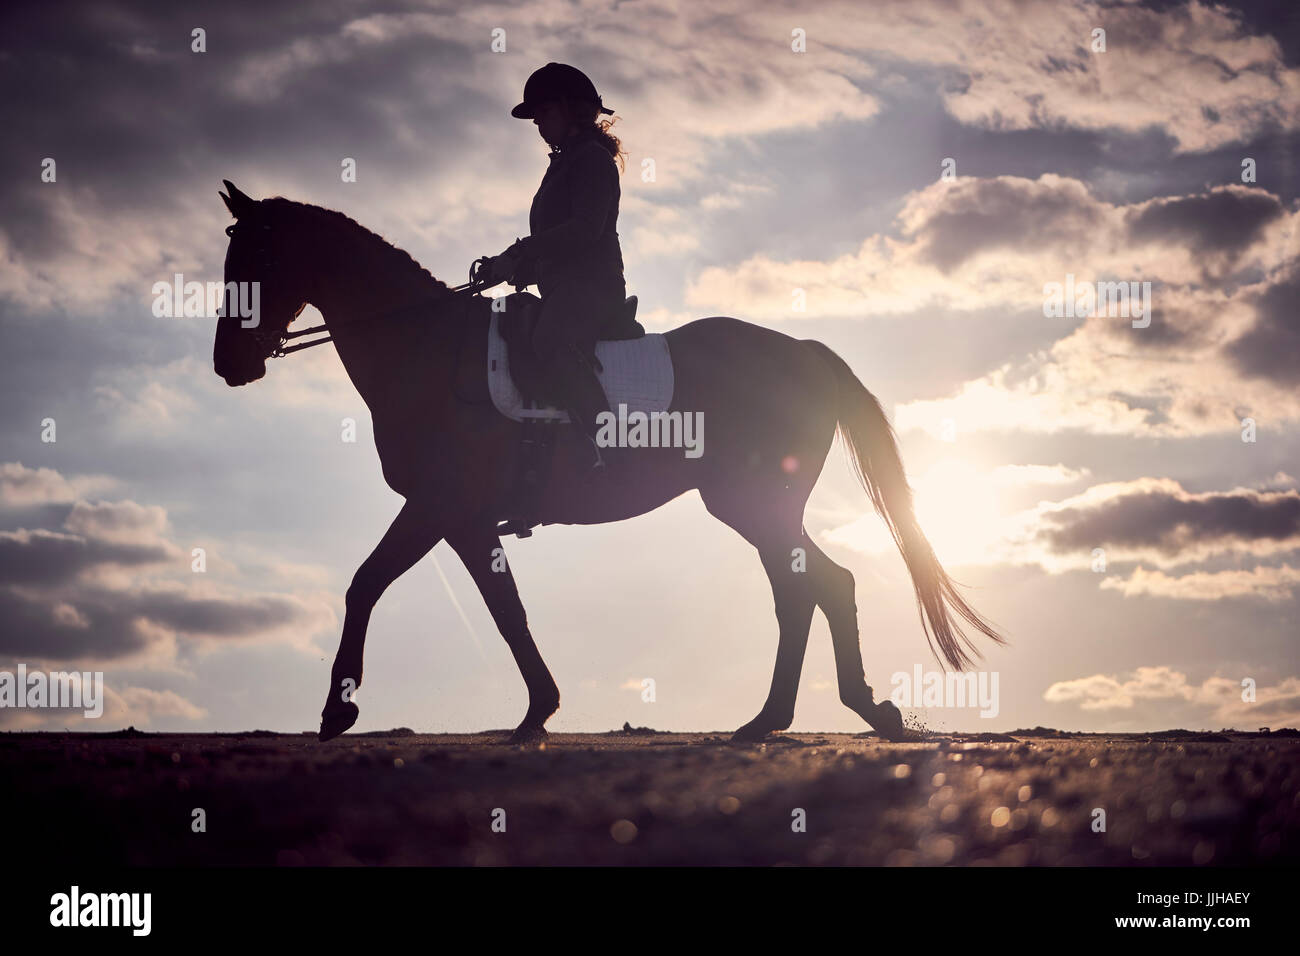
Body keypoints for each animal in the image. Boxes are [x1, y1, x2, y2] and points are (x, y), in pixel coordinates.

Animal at [212, 180, 1004, 744]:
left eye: (259, 260)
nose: (229, 364)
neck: (428, 353)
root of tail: (803, 351)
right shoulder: (464, 520)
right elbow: (505, 609)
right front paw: (538, 710)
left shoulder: (437, 505)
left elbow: (366, 584)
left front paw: (337, 711)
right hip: (755, 506)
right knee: (803, 590)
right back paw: (777, 718)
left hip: (750, 502)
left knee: (820, 586)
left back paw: (839, 713)